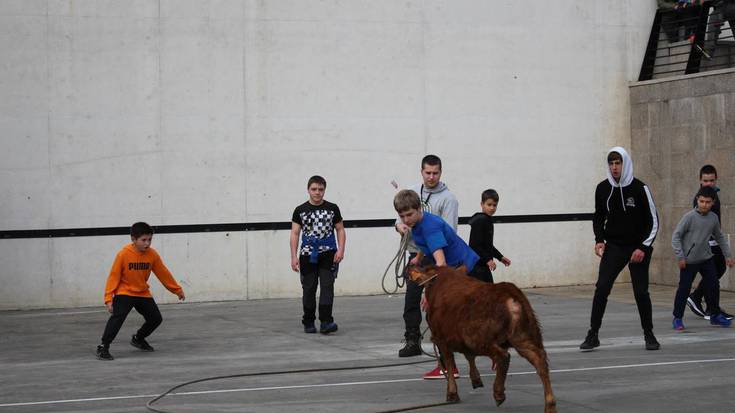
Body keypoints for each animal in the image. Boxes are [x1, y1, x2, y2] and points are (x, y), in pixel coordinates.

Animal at [408, 264, 556, 412]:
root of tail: (511, 296)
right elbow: (469, 356)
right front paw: (476, 379)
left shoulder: (441, 339)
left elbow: (449, 363)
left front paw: (452, 393)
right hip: (523, 337)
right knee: (540, 361)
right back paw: (550, 405)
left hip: (478, 339)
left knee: (503, 356)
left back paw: (498, 393)